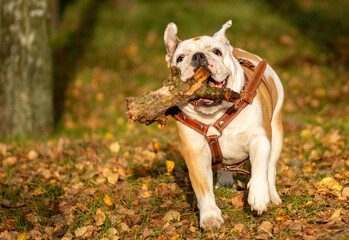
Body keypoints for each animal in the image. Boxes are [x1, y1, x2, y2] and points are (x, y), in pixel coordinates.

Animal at [163, 19, 282, 230]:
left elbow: (260, 167)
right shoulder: (195, 152)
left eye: (216, 51)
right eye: (180, 58)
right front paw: (210, 216)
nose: (198, 56)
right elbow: (202, 187)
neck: (214, 114)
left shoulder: (260, 139)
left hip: (276, 134)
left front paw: (259, 195)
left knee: (270, 168)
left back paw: (271, 196)